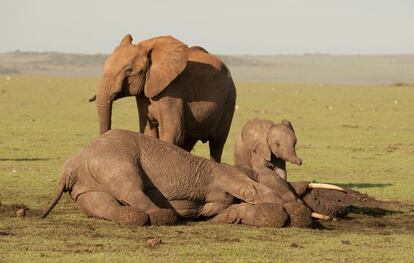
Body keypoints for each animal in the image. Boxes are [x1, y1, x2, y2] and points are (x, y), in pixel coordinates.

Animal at [92, 35, 236, 163]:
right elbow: (148, 132)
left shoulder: (172, 90)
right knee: (189, 141)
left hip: (229, 99)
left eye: (129, 71)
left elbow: (173, 134)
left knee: (217, 144)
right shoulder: (144, 93)